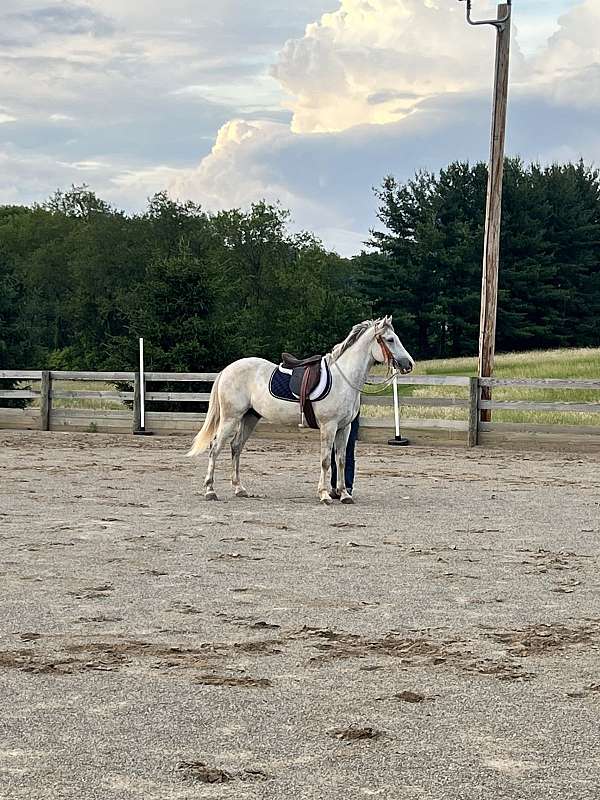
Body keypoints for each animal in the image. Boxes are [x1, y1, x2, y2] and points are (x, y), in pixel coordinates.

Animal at [186, 317, 414, 504]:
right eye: (390, 339)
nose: (409, 364)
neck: (343, 378)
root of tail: (227, 369)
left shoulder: (345, 428)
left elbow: (340, 460)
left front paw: (344, 494)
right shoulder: (329, 427)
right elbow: (325, 460)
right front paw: (324, 494)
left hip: (249, 418)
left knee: (236, 447)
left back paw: (239, 489)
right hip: (230, 418)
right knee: (215, 448)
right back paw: (210, 490)